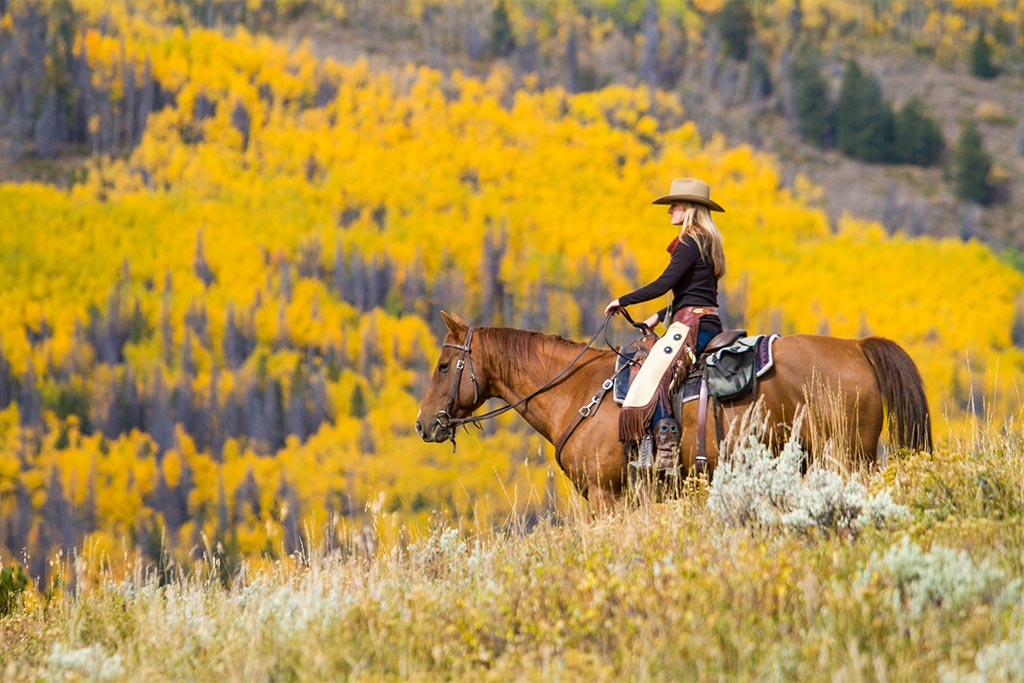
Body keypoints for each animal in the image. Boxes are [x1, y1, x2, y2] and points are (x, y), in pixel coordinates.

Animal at [411, 313, 933, 509]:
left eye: (444, 365)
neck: (578, 392)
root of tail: (859, 347)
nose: (424, 424)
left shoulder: (606, 496)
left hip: (846, 458)